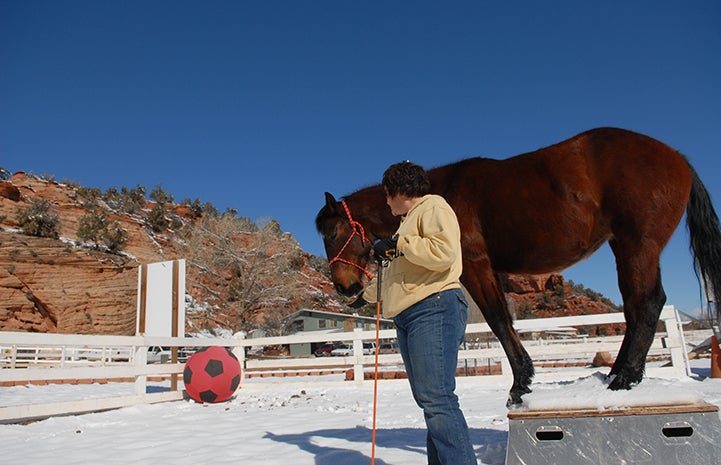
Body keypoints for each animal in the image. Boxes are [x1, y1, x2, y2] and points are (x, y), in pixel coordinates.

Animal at [315, 127, 721, 406]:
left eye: (333, 231)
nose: (345, 287)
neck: (438, 194)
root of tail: (677, 157)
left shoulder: (475, 265)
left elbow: (498, 321)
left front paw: (520, 385)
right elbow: (506, 321)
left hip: (638, 246)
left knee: (647, 303)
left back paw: (624, 379)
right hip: (628, 247)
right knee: (638, 308)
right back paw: (617, 375)